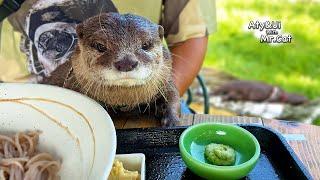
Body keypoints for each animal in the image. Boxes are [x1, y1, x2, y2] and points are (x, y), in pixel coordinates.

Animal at [41, 12, 180, 126]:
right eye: (100, 46)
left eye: (146, 45)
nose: (126, 62)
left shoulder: (164, 80)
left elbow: (173, 95)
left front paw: (172, 120)